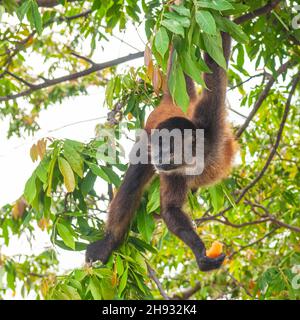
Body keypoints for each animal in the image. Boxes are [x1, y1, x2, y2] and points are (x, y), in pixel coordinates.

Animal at [85, 27, 238, 272]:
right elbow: (171, 209)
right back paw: (109, 242)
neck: (196, 157)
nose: (156, 156)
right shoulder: (173, 170)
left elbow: (217, 61)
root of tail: (170, 103)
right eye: (157, 146)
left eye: (166, 147)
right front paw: (200, 253)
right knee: (134, 181)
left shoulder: (209, 120)